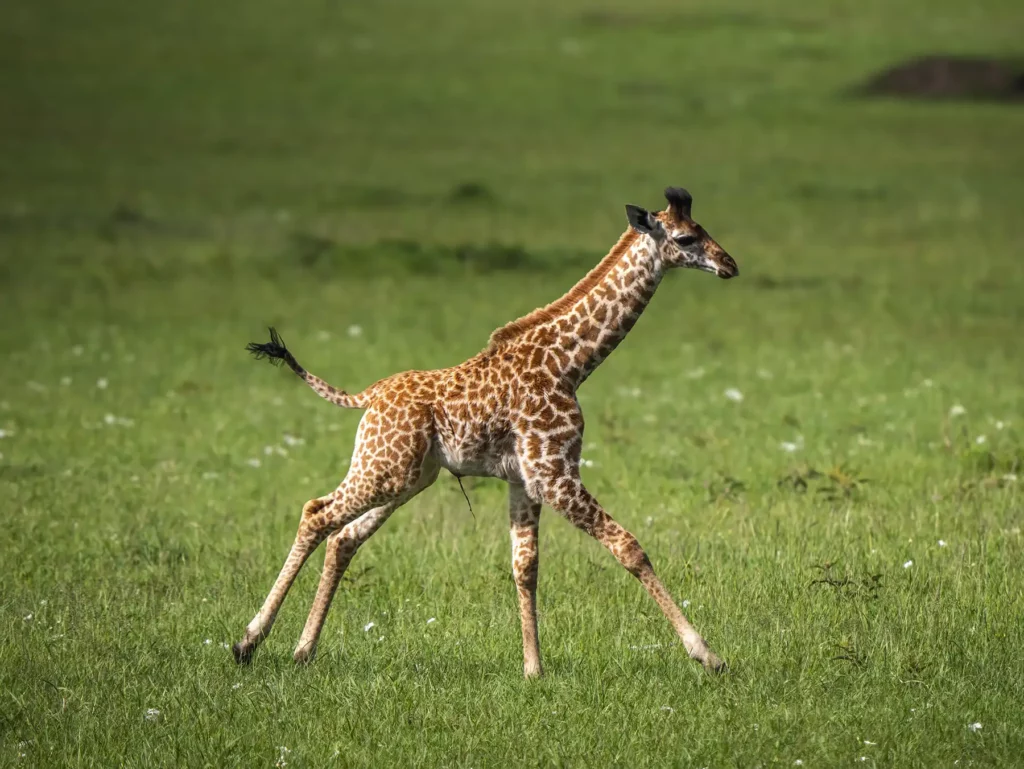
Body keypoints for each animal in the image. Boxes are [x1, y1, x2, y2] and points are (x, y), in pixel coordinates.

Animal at [234, 187, 739, 677]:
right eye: (686, 238)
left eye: (703, 228)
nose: (729, 264)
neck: (570, 365)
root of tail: (369, 396)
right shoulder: (555, 474)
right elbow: (628, 547)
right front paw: (708, 655)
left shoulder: (526, 478)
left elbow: (525, 566)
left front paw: (533, 669)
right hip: (384, 470)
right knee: (316, 514)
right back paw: (247, 642)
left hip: (409, 477)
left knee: (343, 538)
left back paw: (302, 651)